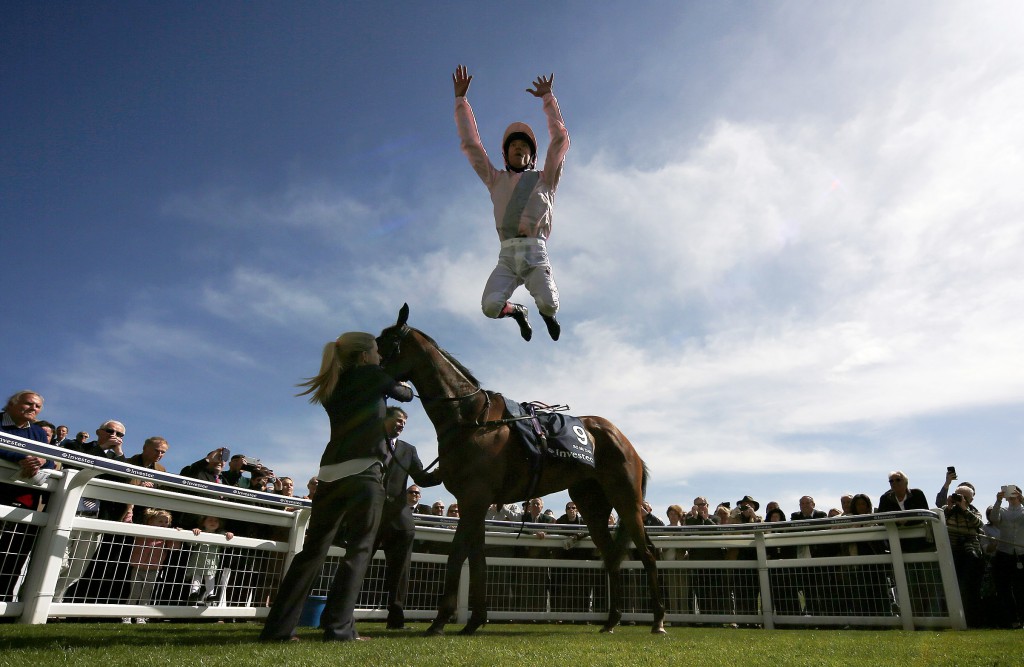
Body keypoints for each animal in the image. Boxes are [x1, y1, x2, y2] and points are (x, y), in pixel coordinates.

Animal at [376, 305, 663, 635]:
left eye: (385, 343)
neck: (472, 419)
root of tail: (625, 441)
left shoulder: (474, 498)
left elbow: (457, 554)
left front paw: (440, 620)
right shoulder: (474, 502)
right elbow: (477, 558)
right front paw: (474, 619)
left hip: (626, 499)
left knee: (647, 554)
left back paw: (658, 620)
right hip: (592, 504)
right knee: (612, 557)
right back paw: (612, 620)